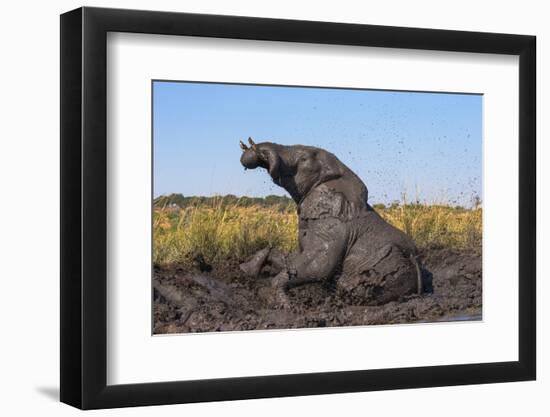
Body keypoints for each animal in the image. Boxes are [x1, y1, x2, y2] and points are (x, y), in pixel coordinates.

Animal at [238, 136, 426, 306]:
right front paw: (246, 270)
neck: (340, 173)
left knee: (347, 285)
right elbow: (292, 260)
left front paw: (279, 302)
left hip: (390, 267)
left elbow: (319, 267)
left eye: (303, 158)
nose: (252, 153)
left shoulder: (334, 227)